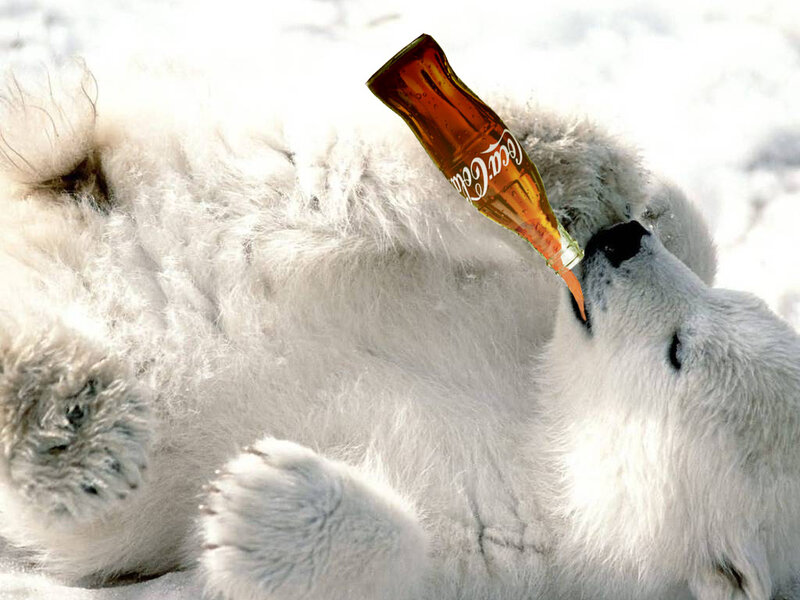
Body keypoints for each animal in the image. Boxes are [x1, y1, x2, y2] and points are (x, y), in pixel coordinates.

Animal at [0, 65, 798, 600]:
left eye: (677, 354)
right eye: (727, 310)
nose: (619, 242)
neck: (543, 428)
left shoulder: (511, 559)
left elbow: (394, 560)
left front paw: (258, 503)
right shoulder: (513, 314)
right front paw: (643, 202)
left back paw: (69, 420)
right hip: (205, 192)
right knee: (317, 174)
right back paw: (556, 154)